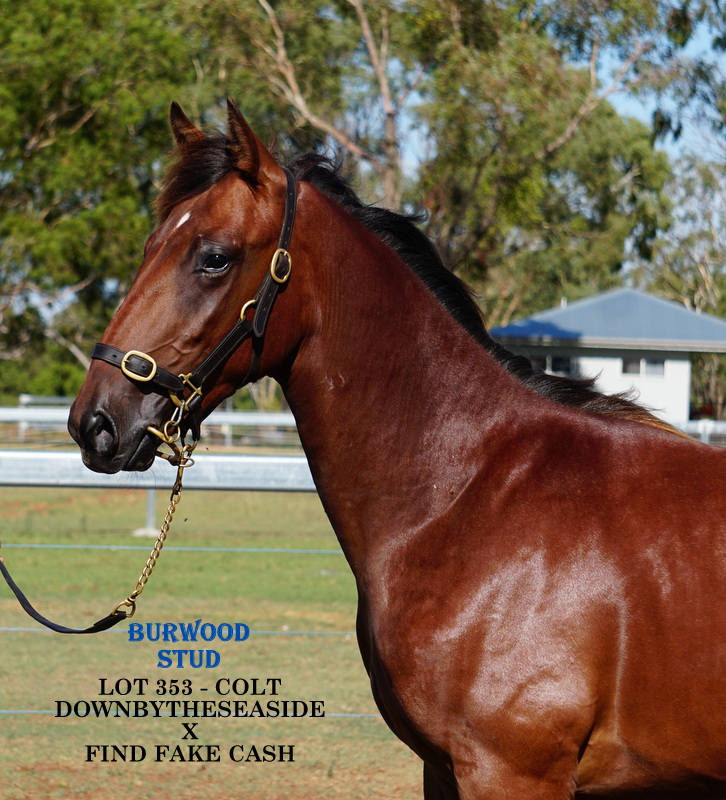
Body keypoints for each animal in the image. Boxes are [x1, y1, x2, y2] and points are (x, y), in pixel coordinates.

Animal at [68, 99, 726, 799]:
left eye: (214, 258)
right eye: (150, 247)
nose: (96, 422)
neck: (470, 496)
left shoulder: (513, 772)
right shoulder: (443, 769)